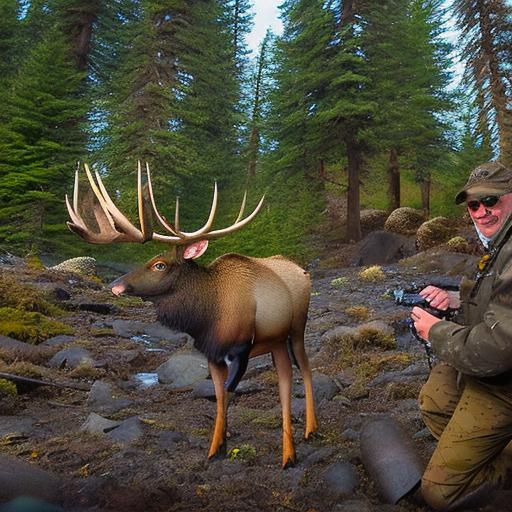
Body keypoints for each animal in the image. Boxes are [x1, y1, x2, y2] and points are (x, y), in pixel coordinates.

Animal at [66, 163, 318, 468]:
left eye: (159, 264)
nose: (115, 285)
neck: (206, 317)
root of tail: (303, 270)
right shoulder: (211, 352)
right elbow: (219, 397)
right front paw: (217, 448)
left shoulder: (241, 348)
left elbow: (228, 394)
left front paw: (219, 448)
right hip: (276, 342)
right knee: (285, 381)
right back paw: (289, 449)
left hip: (297, 329)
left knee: (305, 370)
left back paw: (307, 434)